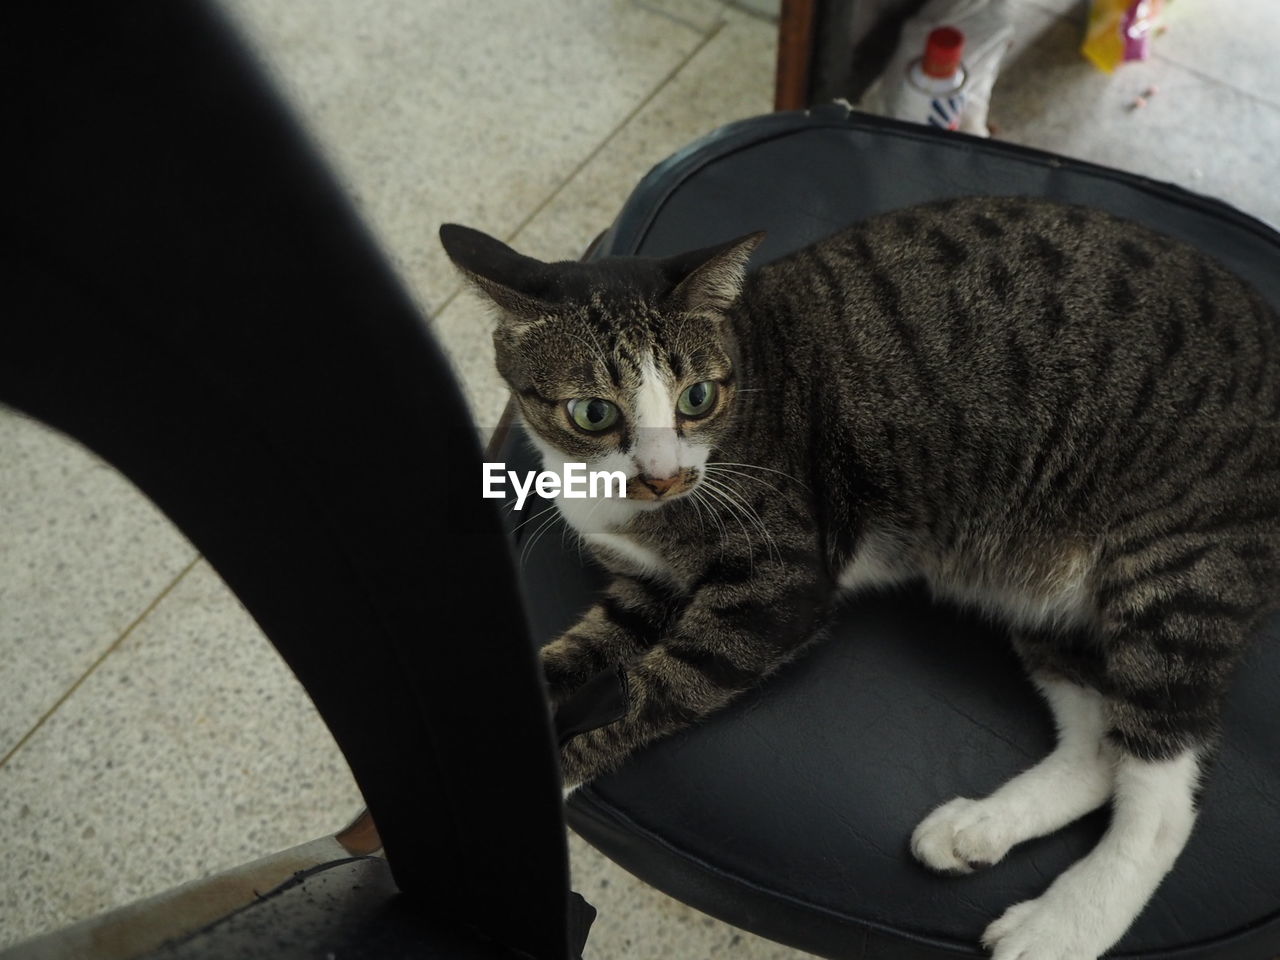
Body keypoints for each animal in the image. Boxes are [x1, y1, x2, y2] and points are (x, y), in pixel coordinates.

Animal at [437, 193, 1269, 960]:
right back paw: (977, 828)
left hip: (1177, 564)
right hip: (1036, 595)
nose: (665, 477)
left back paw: (1062, 926)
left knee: (1165, 787)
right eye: (591, 412)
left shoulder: (777, 582)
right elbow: (577, 651)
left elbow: (658, 684)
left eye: (698, 397)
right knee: (1103, 743)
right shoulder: (644, 587)